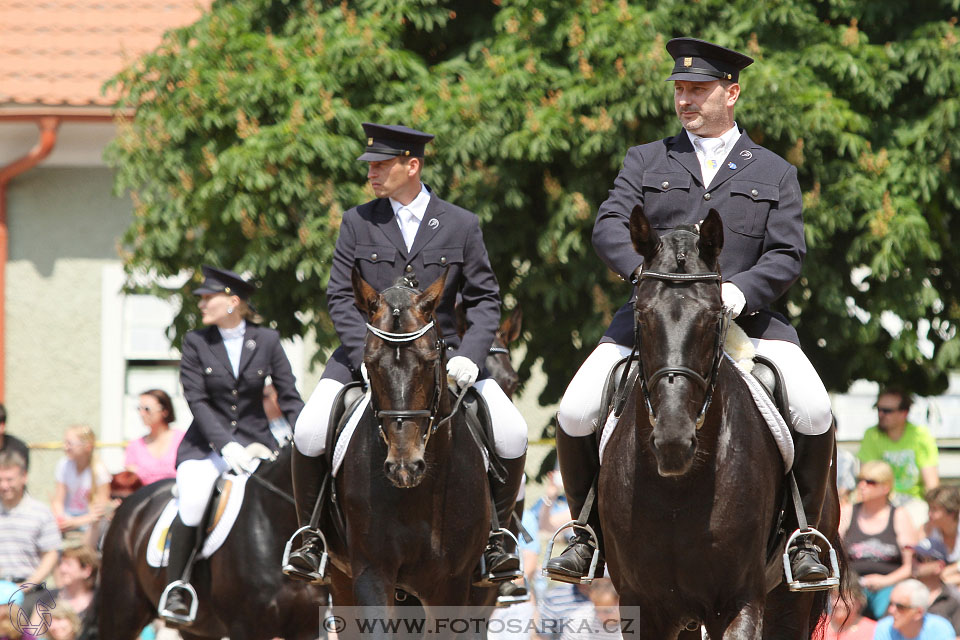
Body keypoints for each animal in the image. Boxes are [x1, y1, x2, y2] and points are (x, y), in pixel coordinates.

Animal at [318, 268, 512, 636]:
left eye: (429, 361)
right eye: (369, 363)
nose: (404, 467)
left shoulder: (451, 584)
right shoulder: (371, 573)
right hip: (343, 578)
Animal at [600, 206, 840, 640]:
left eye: (714, 318)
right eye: (641, 315)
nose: (673, 443)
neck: (677, 491)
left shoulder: (738, 601)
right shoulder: (642, 605)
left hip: (789, 600)